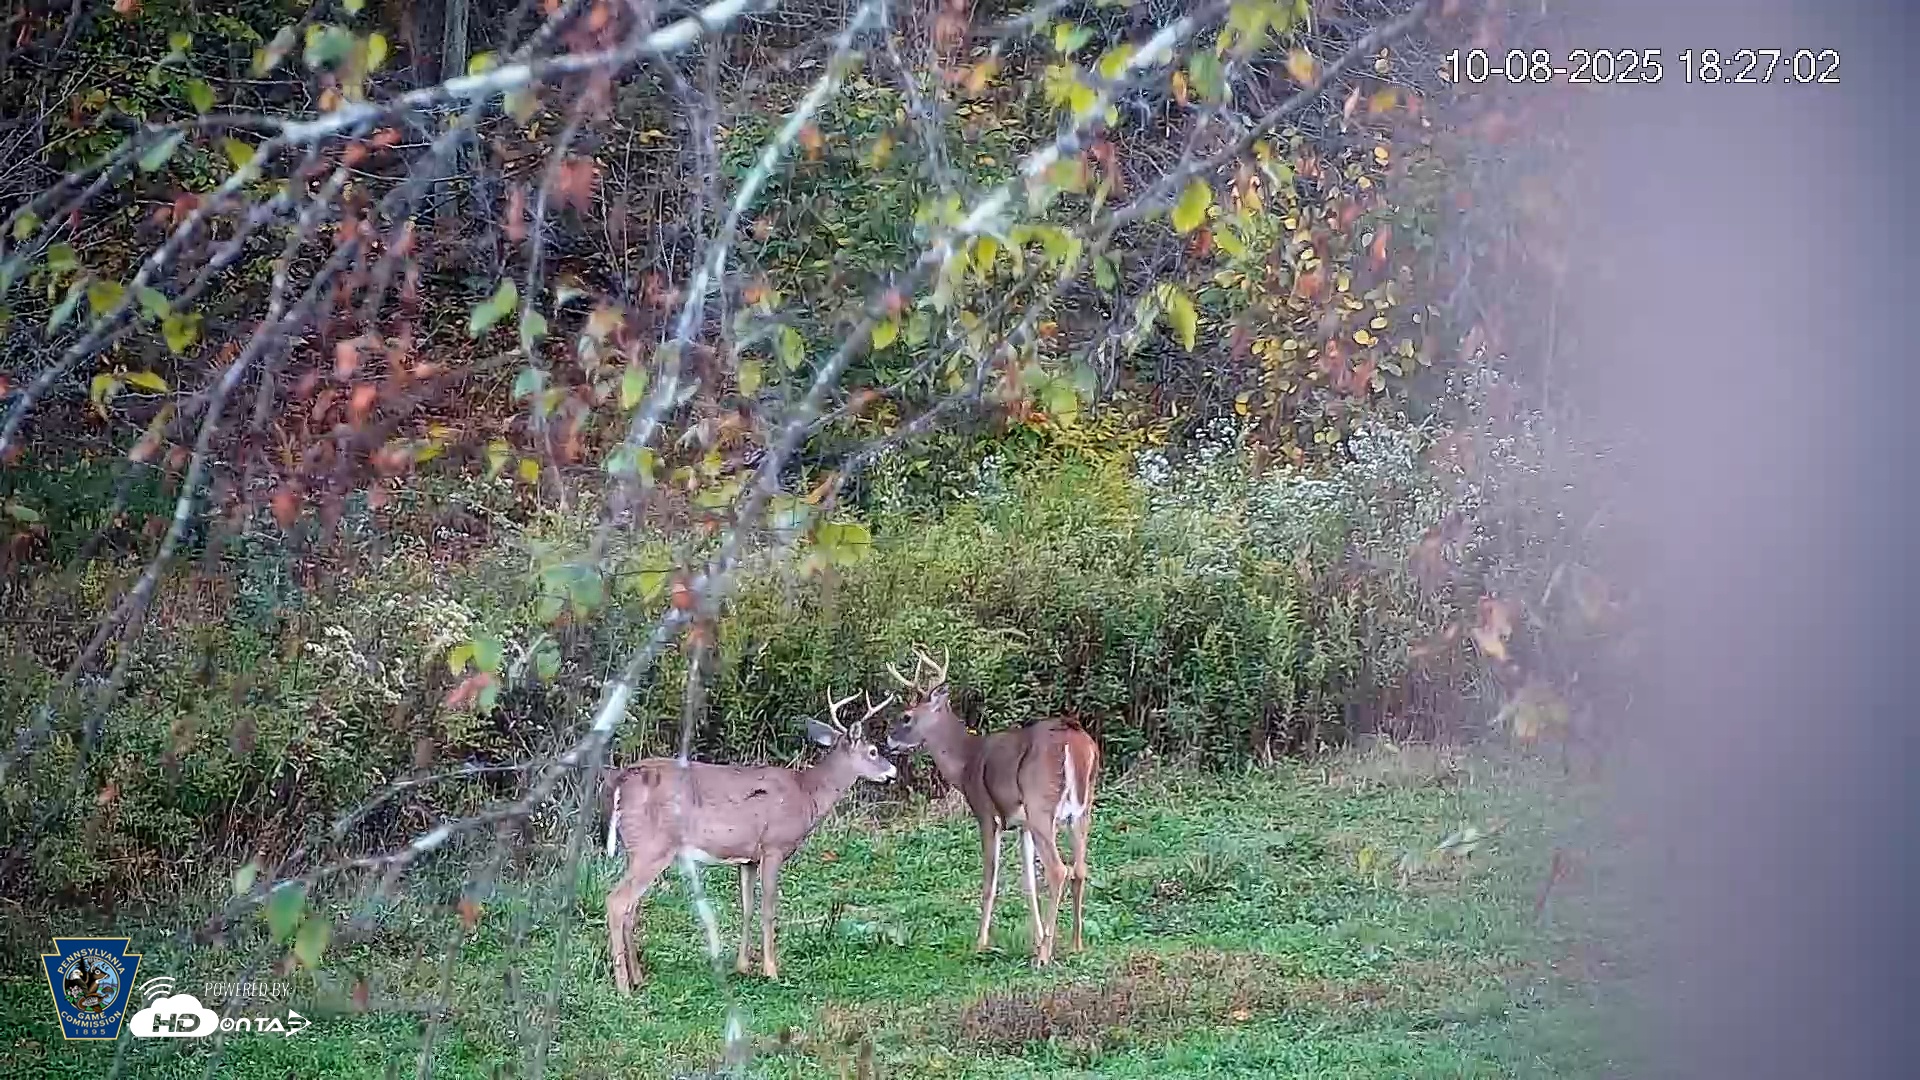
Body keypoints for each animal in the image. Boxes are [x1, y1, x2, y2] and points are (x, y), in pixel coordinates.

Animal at [601, 689, 896, 992]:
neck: (806, 794)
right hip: (654, 846)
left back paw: (638, 977)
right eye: (873, 752)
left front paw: (742, 966)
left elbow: (746, 907)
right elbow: (768, 908)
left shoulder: (748, 858)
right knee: (617, 901)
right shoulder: (773, 846)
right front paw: (771, 970)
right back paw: (624, 987)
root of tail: (621, 781)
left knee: (631, 908)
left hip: (636, 849)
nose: (892, 772)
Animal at [883, 646, 1100, 966]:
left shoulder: (986, 813)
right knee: (1080, 868)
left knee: (1059, 869)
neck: (965, 762)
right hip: (1081, 810)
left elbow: (990, 878)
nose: (888, 740)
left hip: (1041, 806)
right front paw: (1036, 939)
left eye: (907, 716)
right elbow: (1028, 881)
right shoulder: (1022, 825)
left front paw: (981, 943)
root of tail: (1076, 743)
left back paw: (1044, 956)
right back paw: (1075, 945)